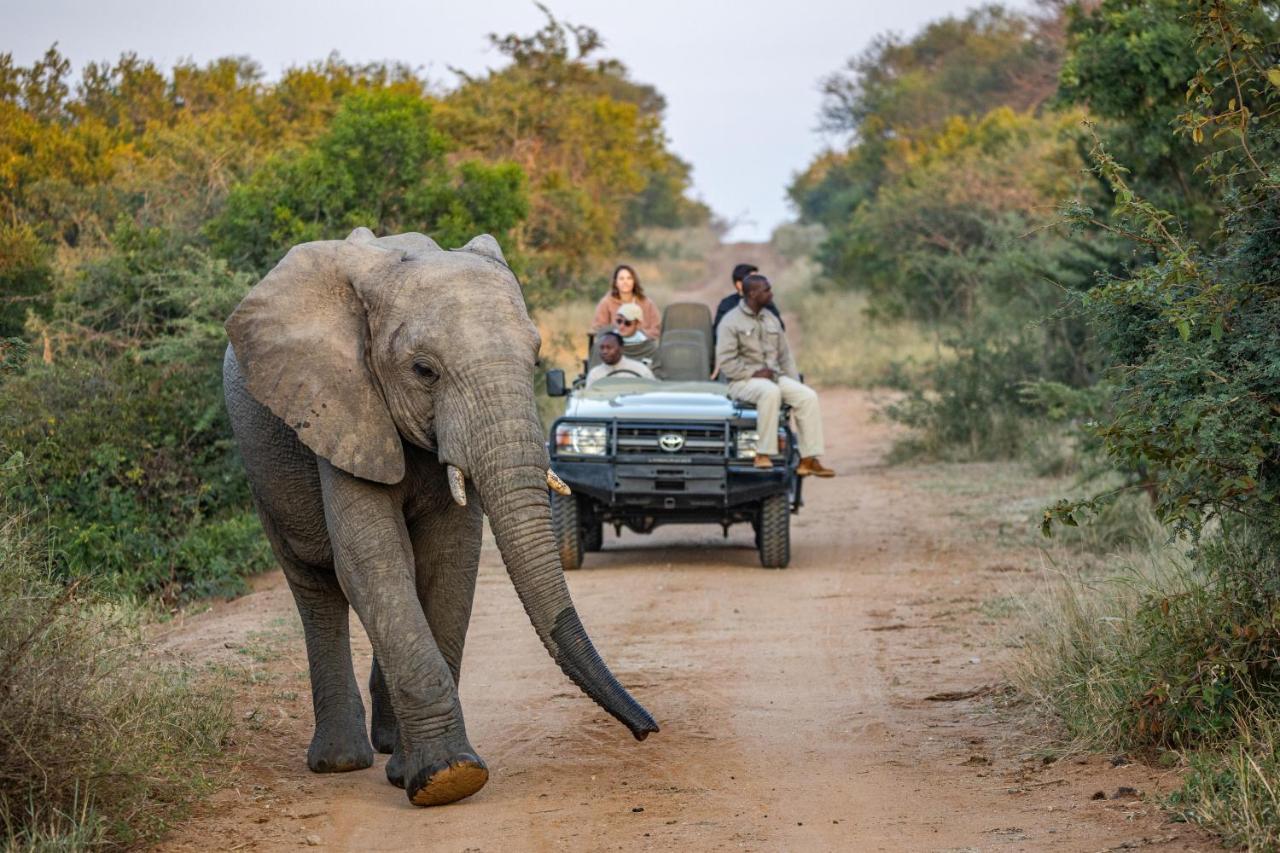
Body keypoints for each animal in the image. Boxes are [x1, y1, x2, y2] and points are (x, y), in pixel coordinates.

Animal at [222, 225, 660, 804]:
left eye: (535, 360)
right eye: (423, 371)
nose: (649, 730)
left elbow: (449, 561)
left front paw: (418, 773)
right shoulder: (340, 405)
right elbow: (370, 561)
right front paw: (448, 779)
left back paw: (388, 747)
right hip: (262, 465)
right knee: (316, 587)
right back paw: (340, 762)